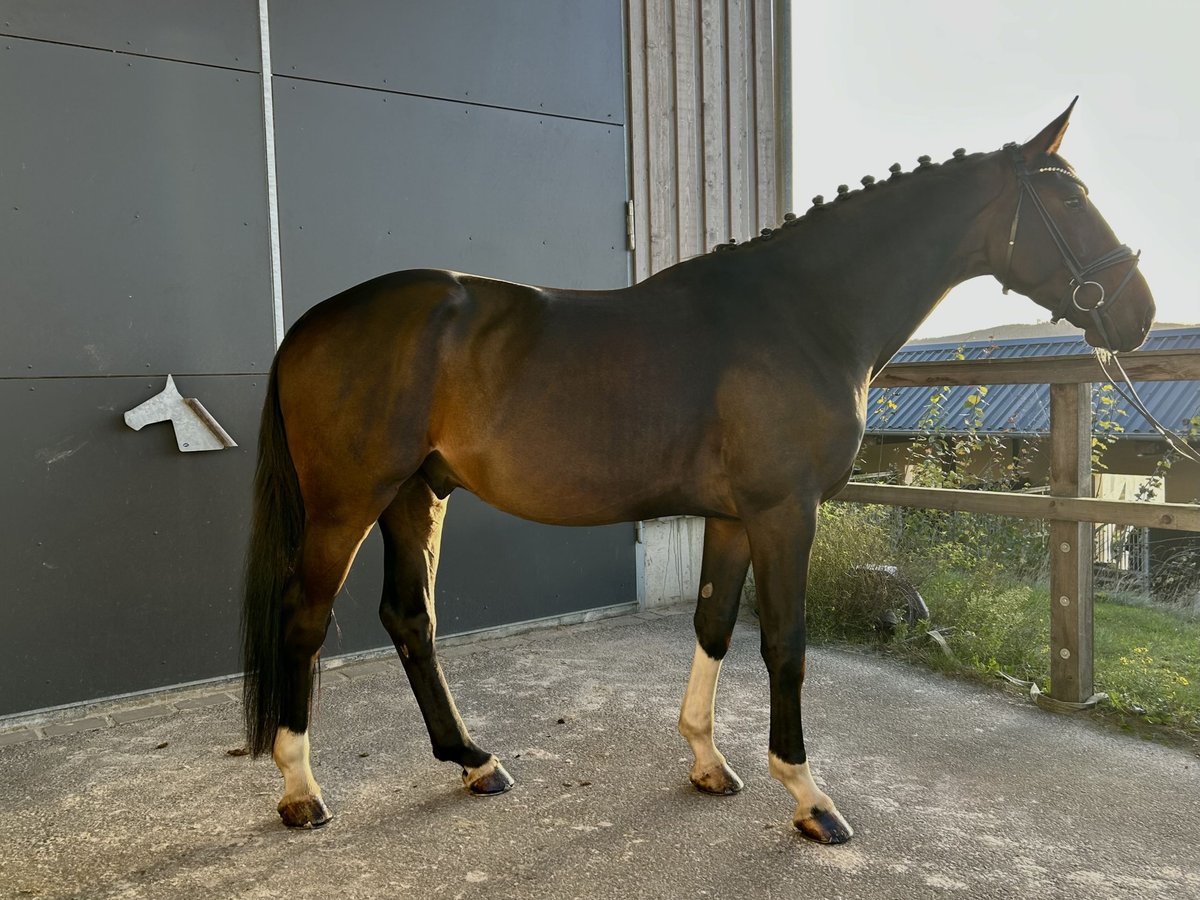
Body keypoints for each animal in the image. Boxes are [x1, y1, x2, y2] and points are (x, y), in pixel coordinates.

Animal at [241, 100, 1153, 843]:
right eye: (1071, 200)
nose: (1138, 313)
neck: (803, 311)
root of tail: (308, 325)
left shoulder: (733, 516)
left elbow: (714, 623)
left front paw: (708, 763)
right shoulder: (786, 511)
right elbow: (785, 643)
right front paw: (810, 797)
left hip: (415, 495)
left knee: (410, 620)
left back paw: (474, 760)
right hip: (346, 506)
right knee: (304, 618)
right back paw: (301, 790)